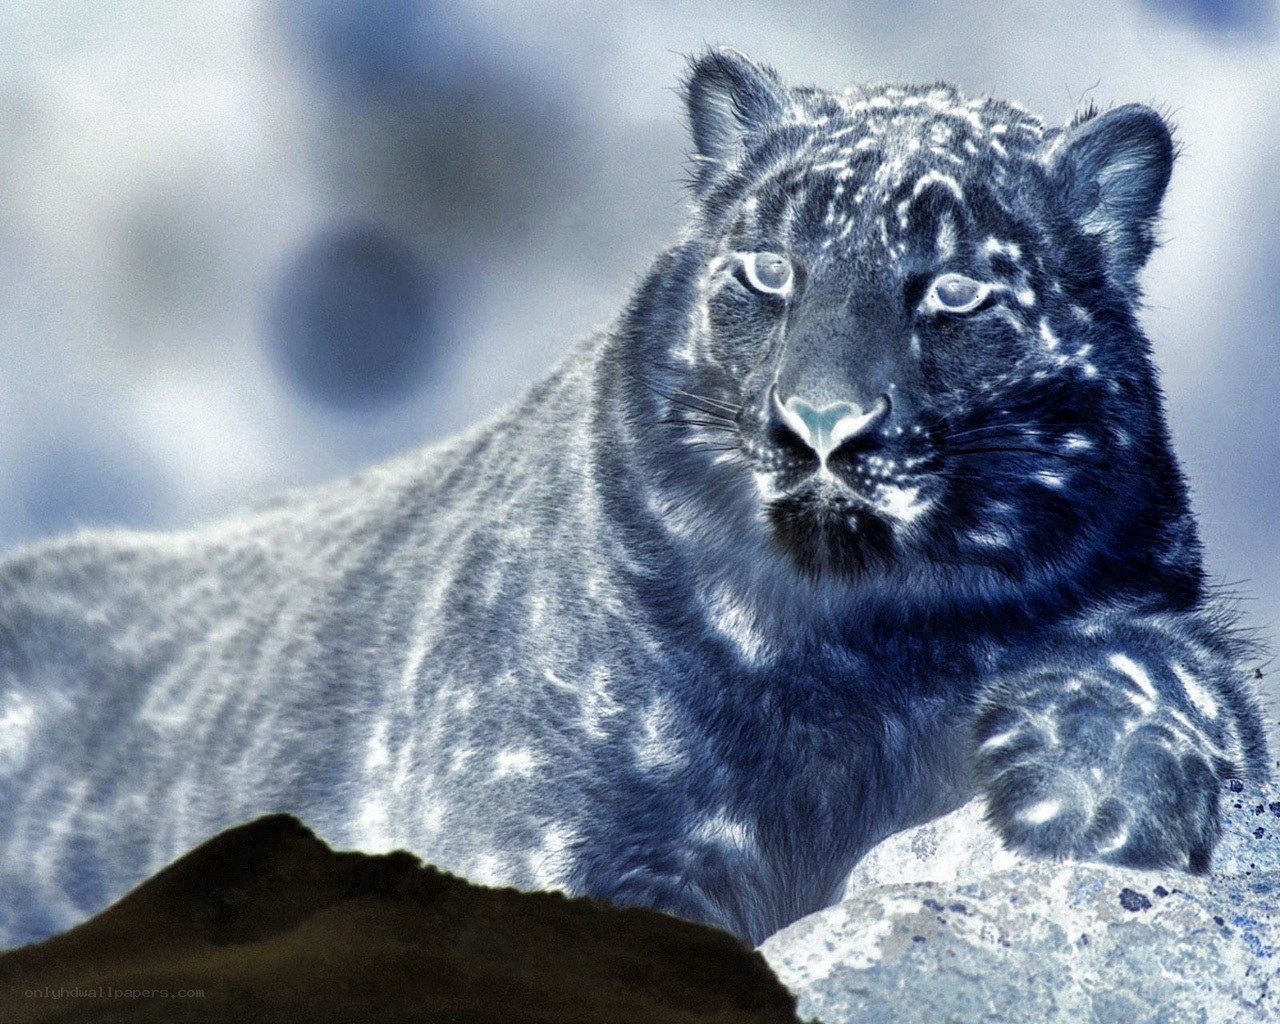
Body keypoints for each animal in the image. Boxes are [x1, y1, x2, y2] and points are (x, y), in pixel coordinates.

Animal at [0, 48, 1267, 948]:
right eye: (768, 269)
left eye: (954, 290)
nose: (819, 423)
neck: (862, 663)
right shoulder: (554, 838)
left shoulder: (1145, 601)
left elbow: (1176, 666)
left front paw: (1077, 785)